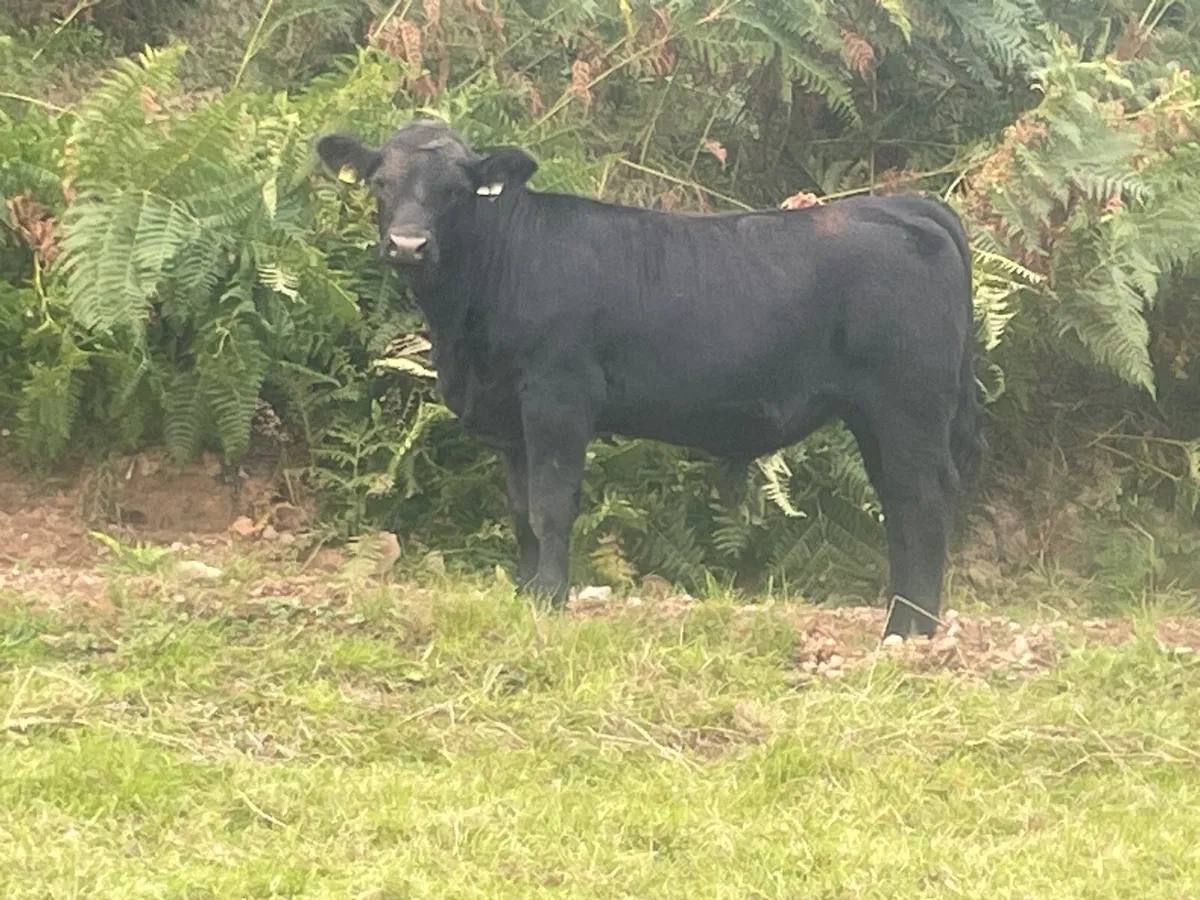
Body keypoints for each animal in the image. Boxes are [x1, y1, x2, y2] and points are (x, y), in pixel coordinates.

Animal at [315, 117, 982, 637]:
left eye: (457, 191)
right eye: (380, 183)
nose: (407, 244)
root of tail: (899, 203)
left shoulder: (558, 397)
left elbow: (552, 504)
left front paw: (549, 598)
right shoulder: (509, 416)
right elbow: (521, 510)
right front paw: (524, 593)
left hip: (908, 404)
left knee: (921, 498)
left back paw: (909, 630)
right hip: (874, 413)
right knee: (899, 499)